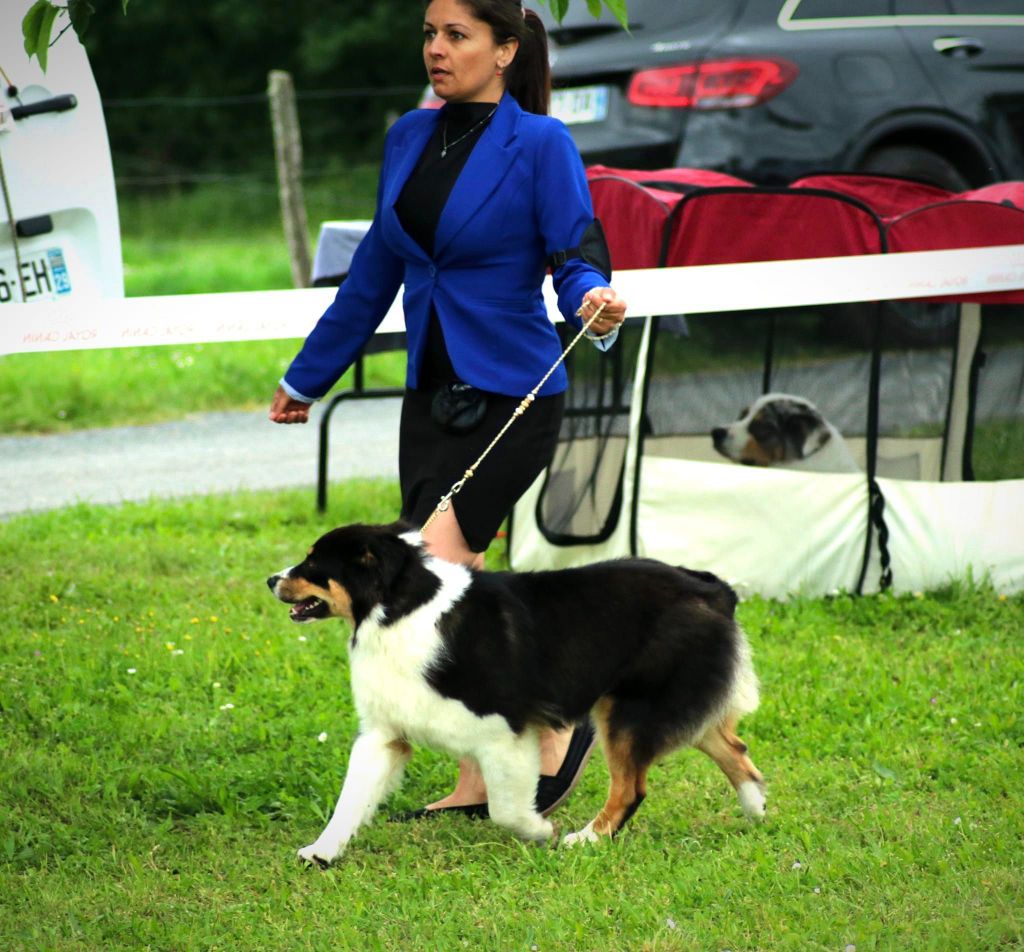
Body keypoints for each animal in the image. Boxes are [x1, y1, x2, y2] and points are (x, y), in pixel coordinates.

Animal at [268, 524, 765, 863]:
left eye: (313, 564)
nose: (272, 580)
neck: (398, 610)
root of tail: (711, 587)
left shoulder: (503, 733)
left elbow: (504, 809)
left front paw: (540, 830)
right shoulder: (383, 733)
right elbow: (351, 798)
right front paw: (321, 852)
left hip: (628, 710)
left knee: (632, 788)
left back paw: (587, 838)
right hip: (671, 704)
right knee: (735, 749)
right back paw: (757, 812)